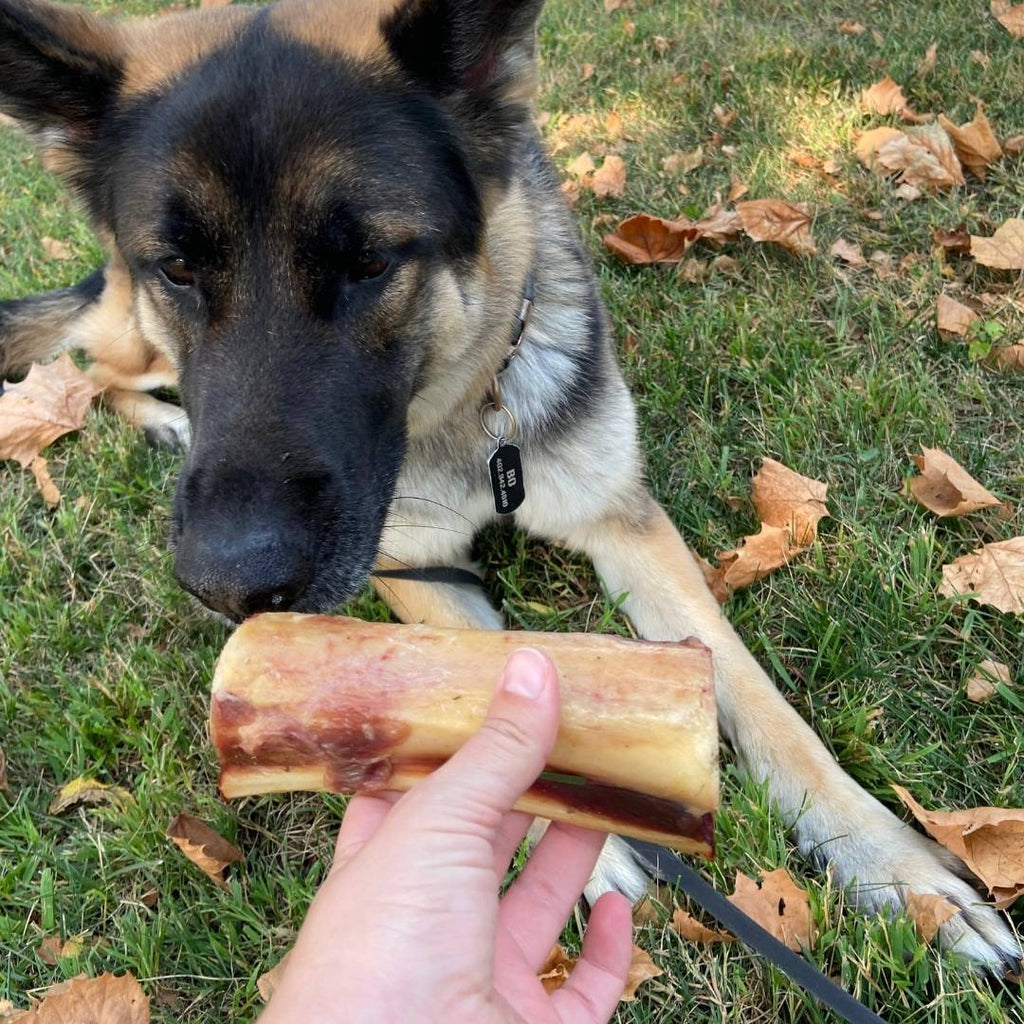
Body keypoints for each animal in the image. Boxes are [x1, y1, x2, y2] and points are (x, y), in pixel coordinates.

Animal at [0, 0, 1019, 974]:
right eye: (178, 267)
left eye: (370, 262)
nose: (229, 586)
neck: (471, 422)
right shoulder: (412, 572)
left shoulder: (628, 528)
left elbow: (760, 701)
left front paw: (894, 869)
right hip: (135, 330)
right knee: (90, 365)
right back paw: (160, 420)